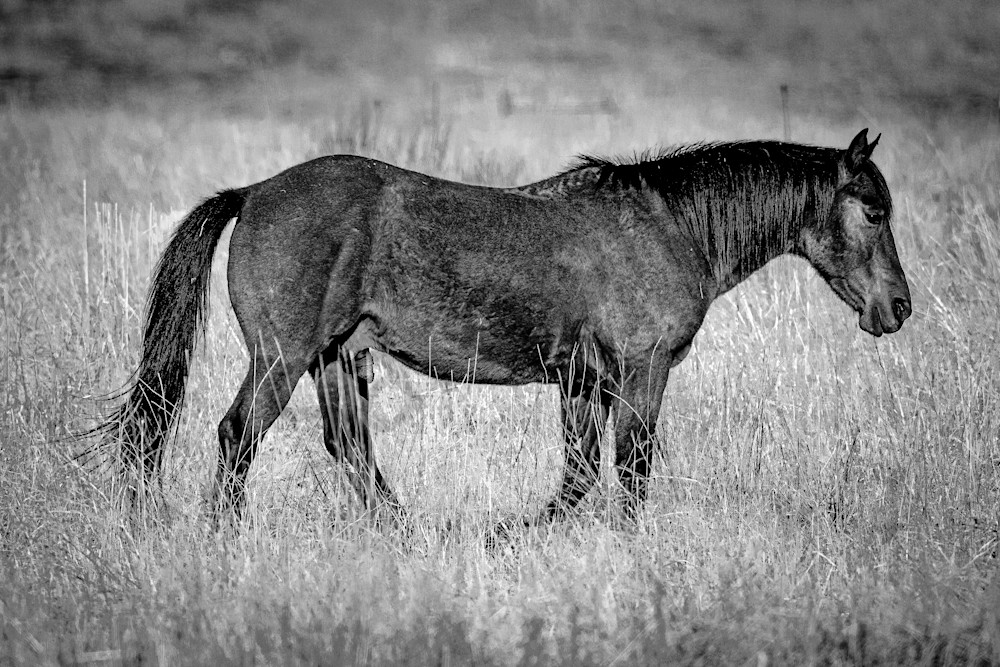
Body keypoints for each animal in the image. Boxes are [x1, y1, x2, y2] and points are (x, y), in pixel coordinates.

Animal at [96, 128, 911, 527]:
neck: (668, 225)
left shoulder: (582, 383)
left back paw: (406, 531)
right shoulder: (642, 374)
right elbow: (631, 471)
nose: (899, 307)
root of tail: (255, 192)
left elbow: (578, 478)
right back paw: (226, 538)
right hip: (283, 356)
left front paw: (519, 534)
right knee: (239, 435)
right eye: (874, 211)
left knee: (350, 448)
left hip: (338, 356)